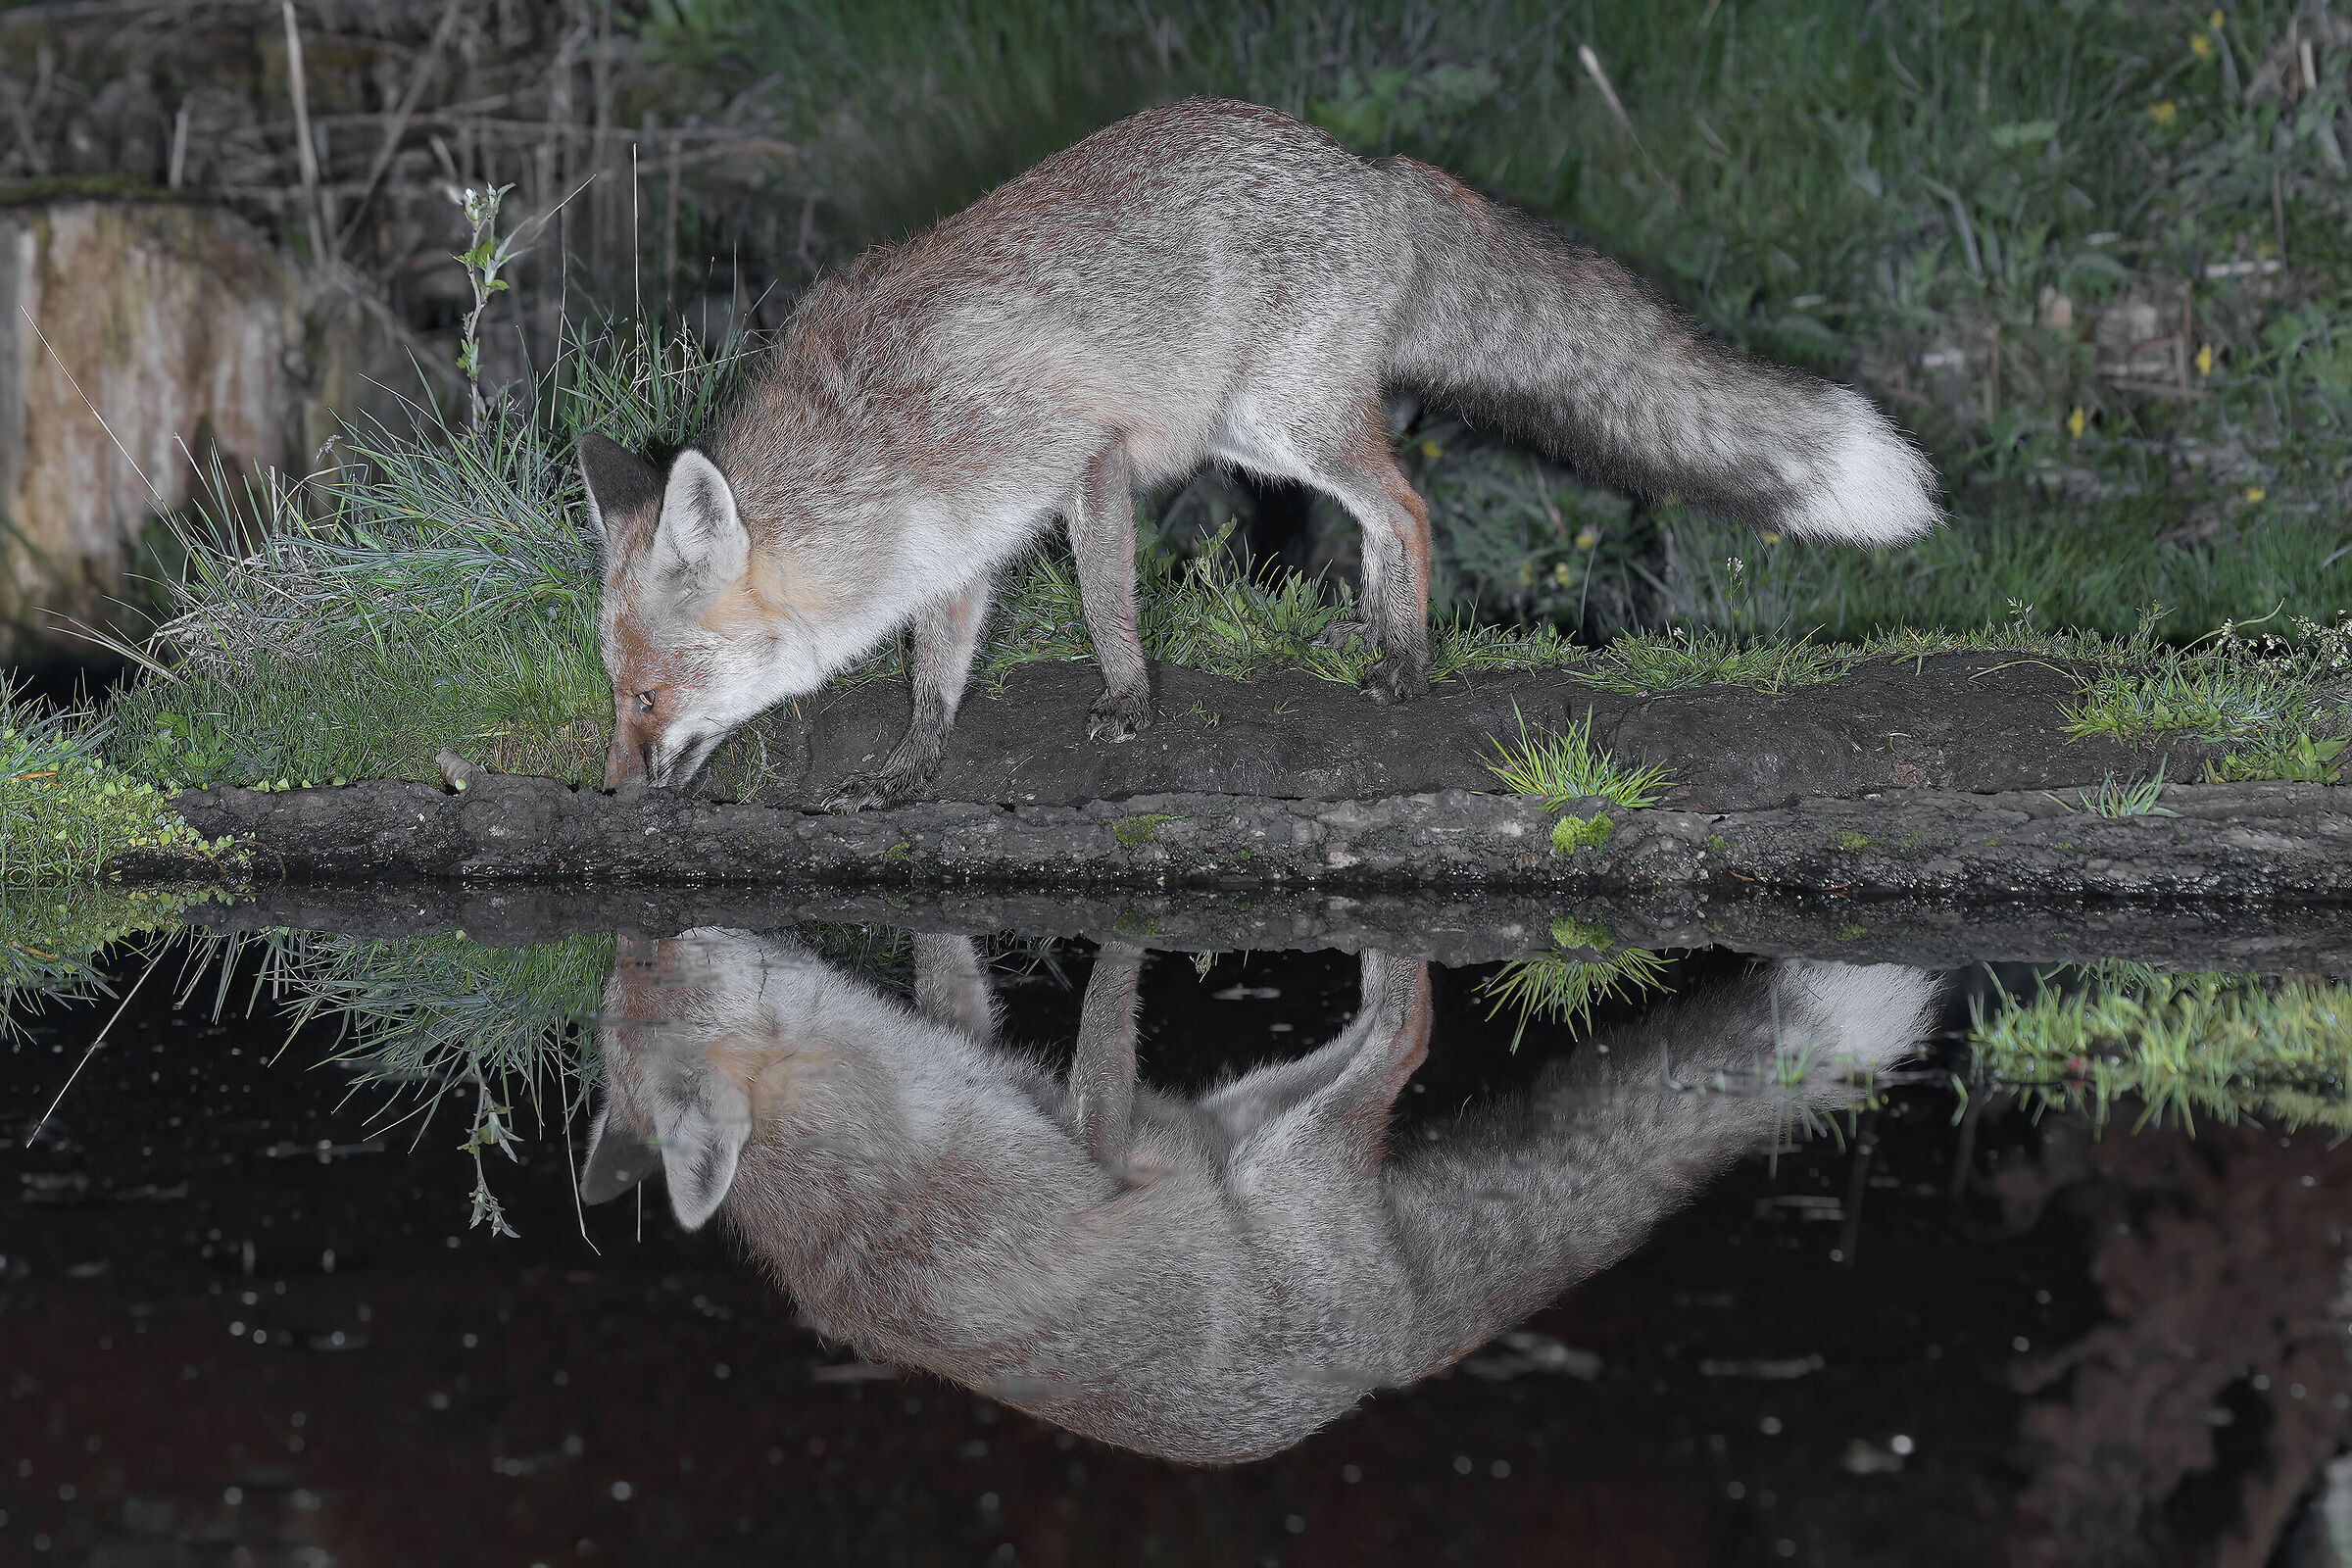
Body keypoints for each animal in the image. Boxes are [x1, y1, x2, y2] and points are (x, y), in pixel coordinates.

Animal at [577, 97, 1940, 808]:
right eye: (613, 693)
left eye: (648, 698)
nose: (613, 793)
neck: (880, 431)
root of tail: (1375, 169)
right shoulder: (961, 541)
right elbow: (936, 669)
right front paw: (913, 763)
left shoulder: (1085, 454)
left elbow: (1109, 601)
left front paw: (1130, 703)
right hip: (1255, 432)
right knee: (1384, 512)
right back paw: (1372, 635)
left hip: (1285, 422)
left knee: (1409, 504)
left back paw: (1407, 659)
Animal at [580, 927, 1941, 1463]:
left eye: (628, 986)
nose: (633, 937)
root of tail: (1391, 1353)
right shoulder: (1082, 1149)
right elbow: (1105, 1047)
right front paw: (1123, 948)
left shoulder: (1000, 1061)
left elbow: (962, 979)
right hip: (1290, 1150)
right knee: (1406, 1029)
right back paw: (1391, 950)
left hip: (1251, 1109)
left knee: (1370, 1044)